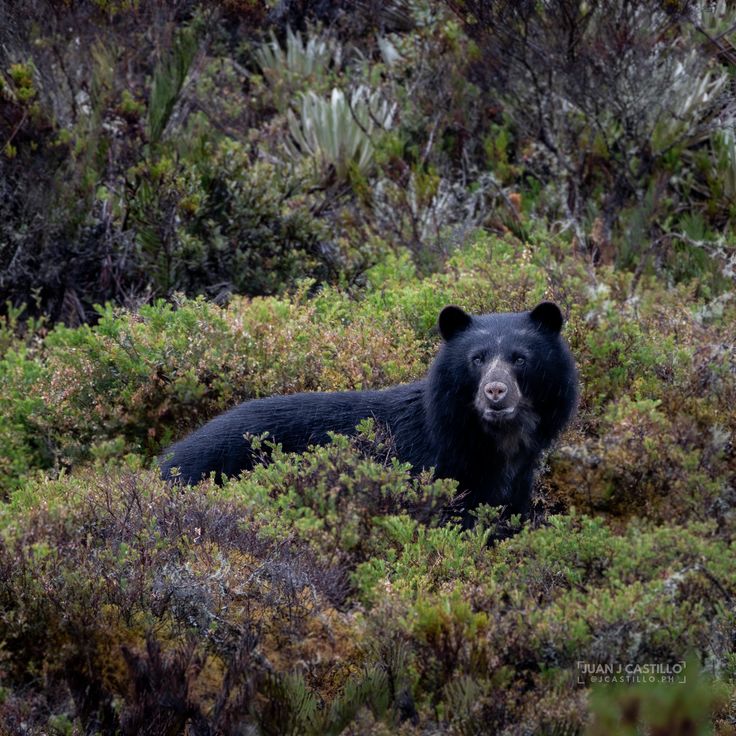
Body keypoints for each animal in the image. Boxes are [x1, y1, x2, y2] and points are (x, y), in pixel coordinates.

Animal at [160, 302, 576, 520]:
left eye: (520, 358)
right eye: (477, 359)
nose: (495, 391)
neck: (493, 444)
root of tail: (166, 459)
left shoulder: (518, 480)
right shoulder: (435, 469)